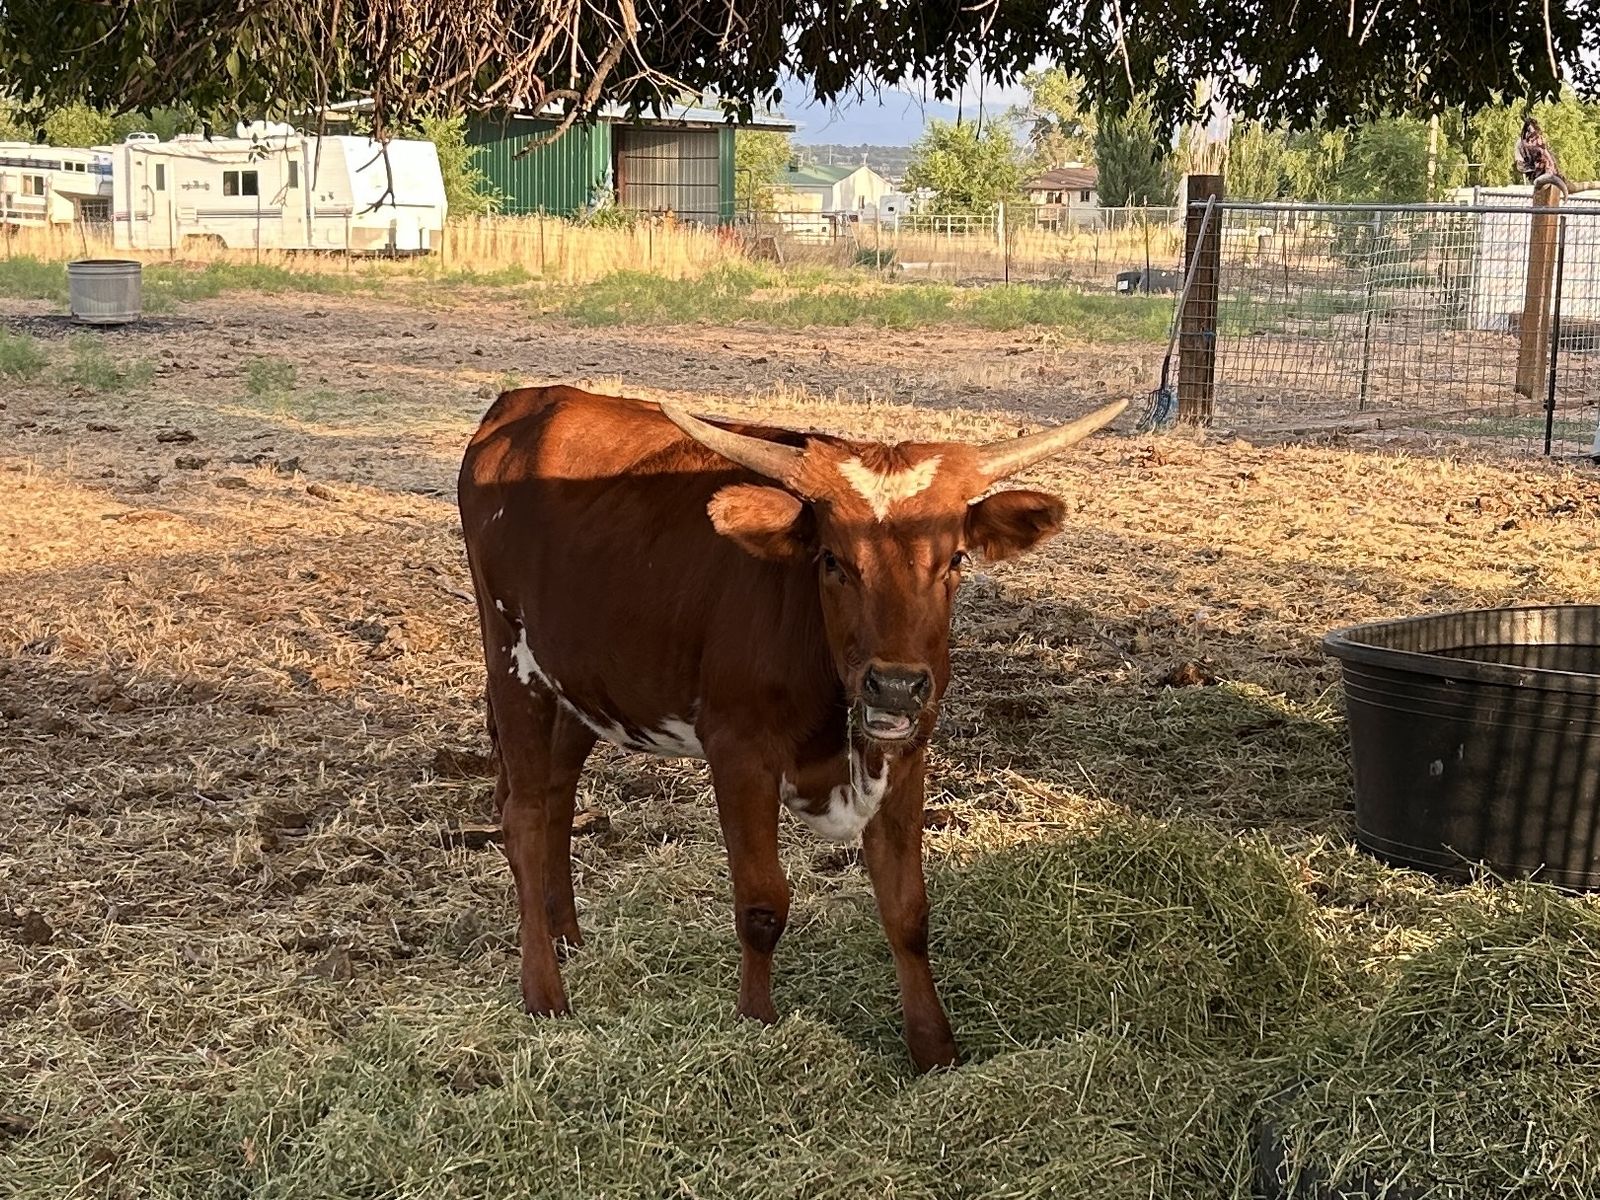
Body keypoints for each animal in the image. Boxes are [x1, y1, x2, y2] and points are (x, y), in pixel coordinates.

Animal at [457, 385, 1126, 1071]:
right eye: (832, 560)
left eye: (955, 560)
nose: (895, 685)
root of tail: (524, 400)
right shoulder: (740, 753)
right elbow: (762, 904)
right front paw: (757, 1025)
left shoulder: (907, 753)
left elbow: (907, 908)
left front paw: (935, 1050)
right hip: (511, 660)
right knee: (524, 814)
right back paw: (544, 991)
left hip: (579, 680)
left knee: (557, 796)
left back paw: (568, 939)